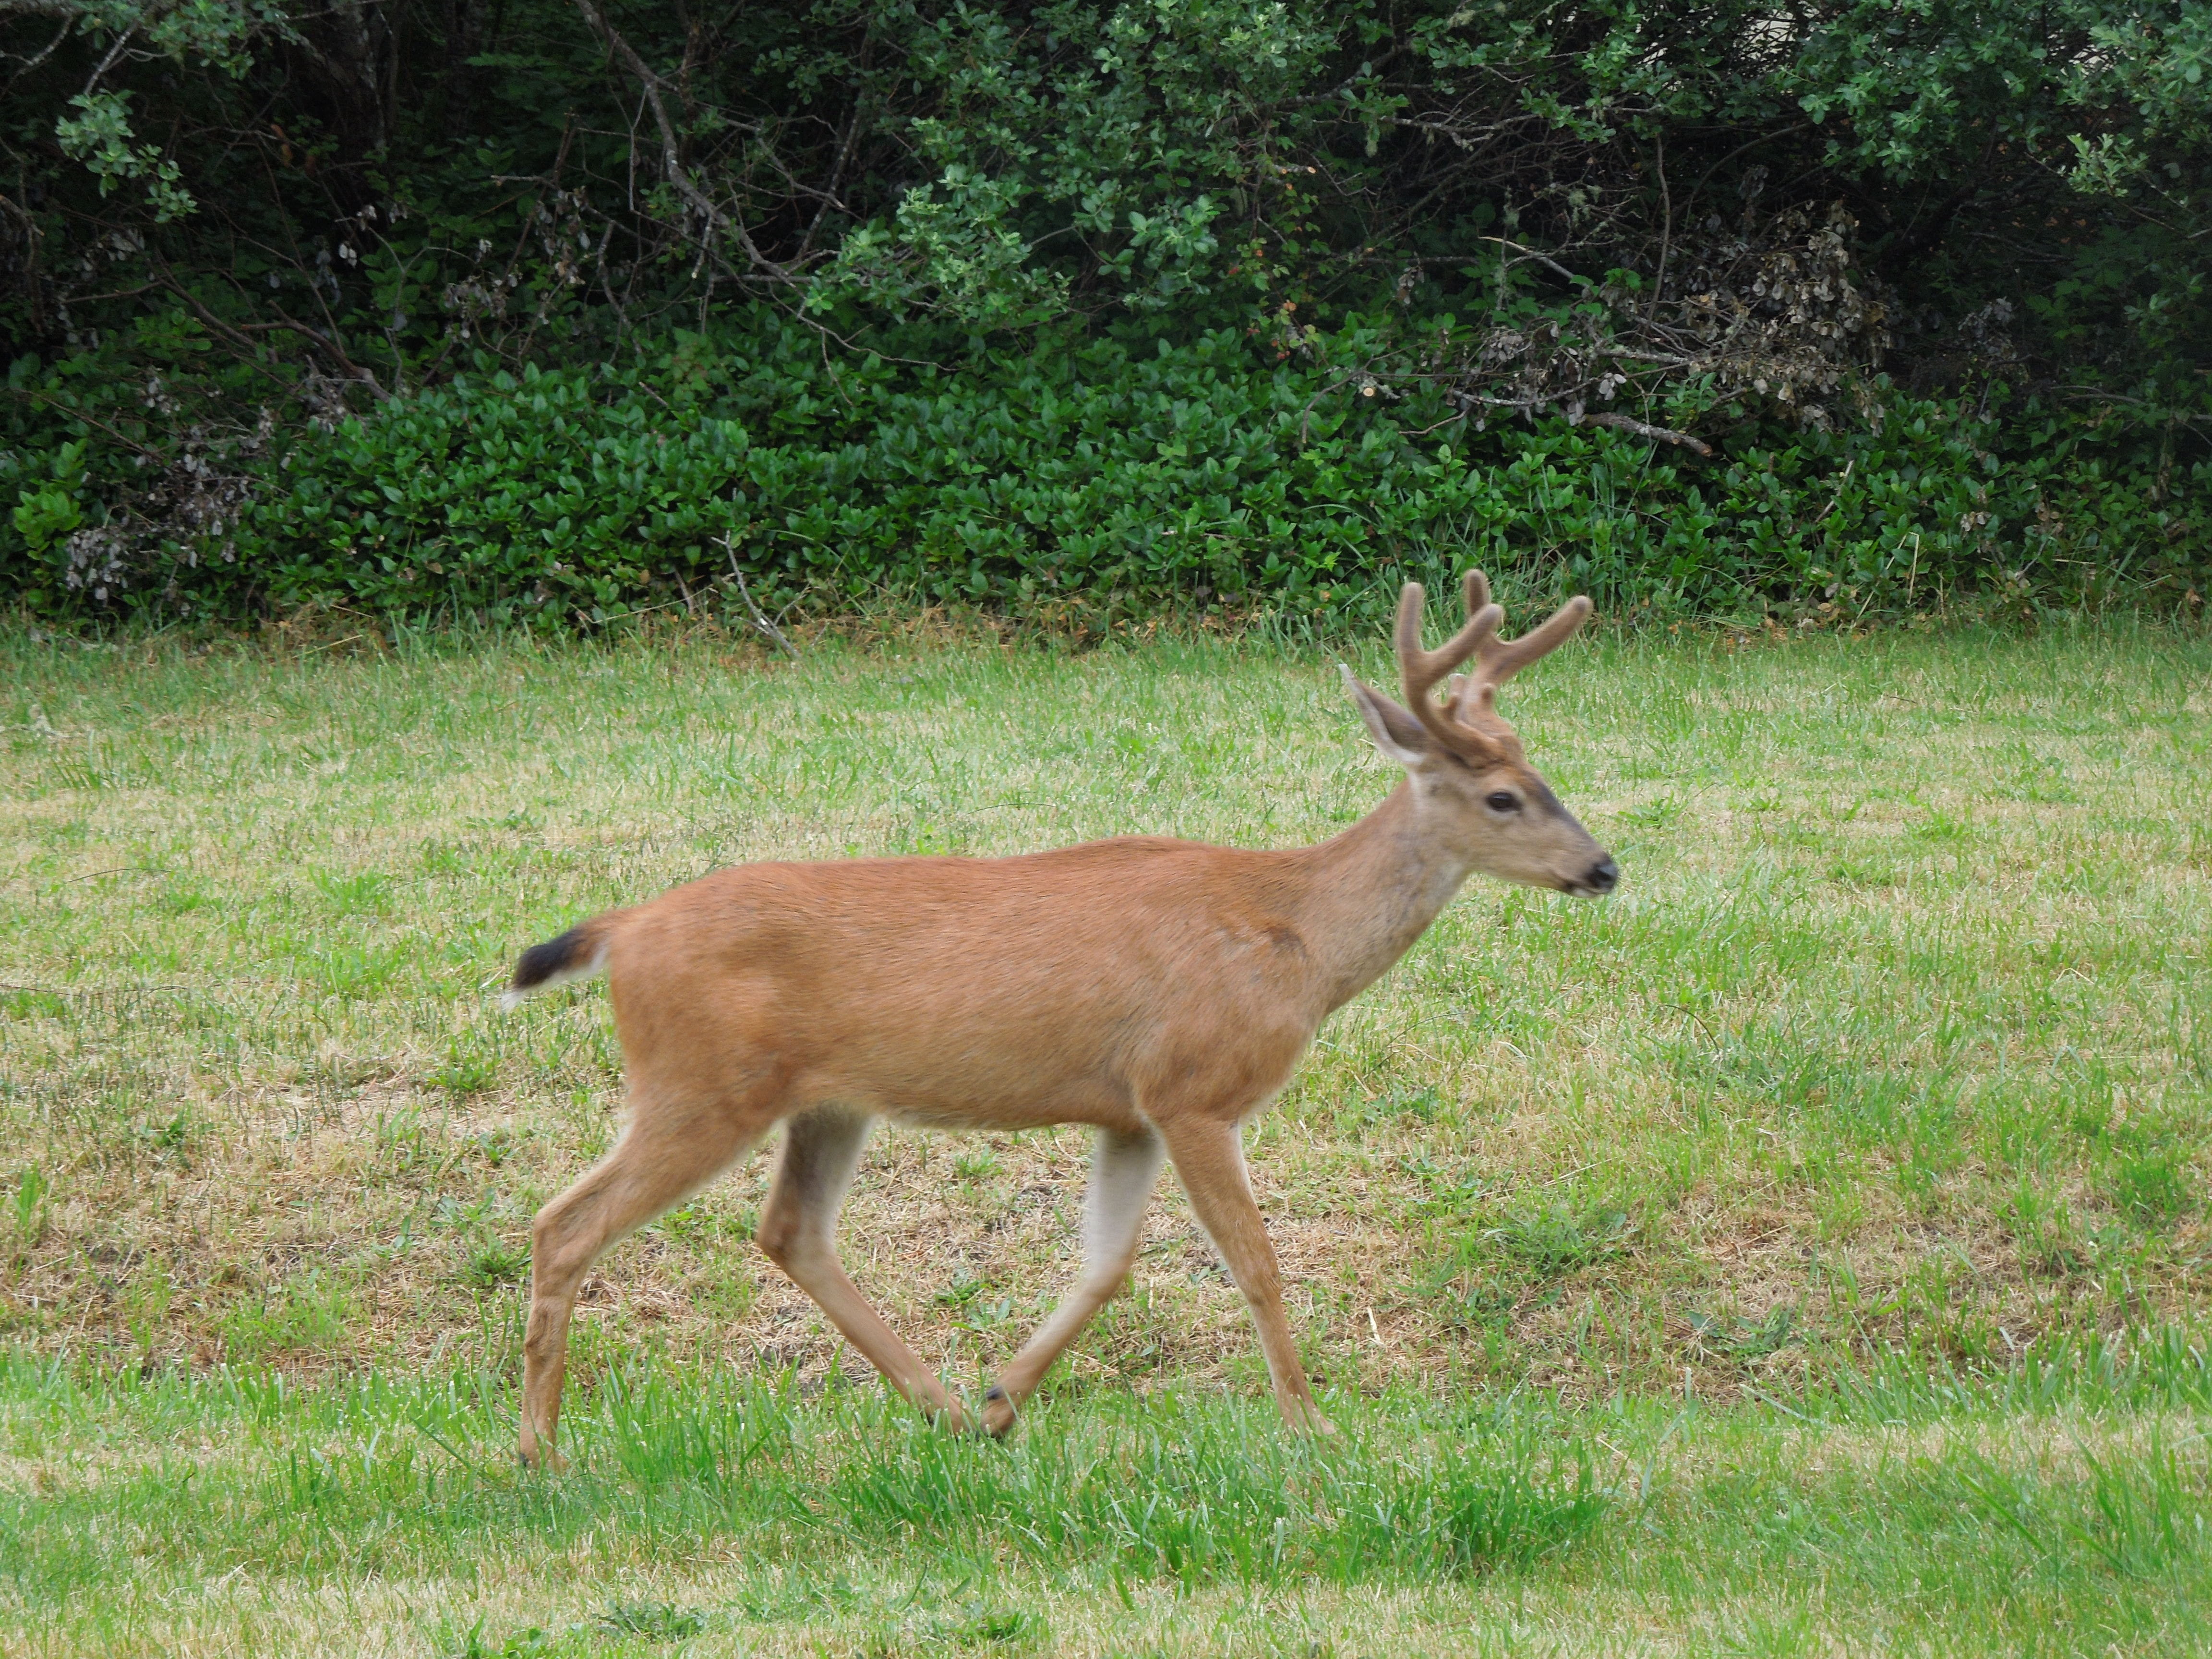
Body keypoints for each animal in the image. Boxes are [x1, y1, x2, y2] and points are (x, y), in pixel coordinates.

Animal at [501, 573, 1616, 1469]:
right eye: (1505, 797)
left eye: (1546, 780)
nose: (1602, 867)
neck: (1295, 937)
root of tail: (623, 930)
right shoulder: (1194, 1086)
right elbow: (1255, 1264)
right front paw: (1314, 1429)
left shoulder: (1128, 1110)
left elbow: (1107, 1265)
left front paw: (1004, 1399)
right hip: (699, 1082)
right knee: (566, 1222)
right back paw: (542, 1452)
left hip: (824, 1101)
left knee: (791, 1232)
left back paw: (946, 1412)